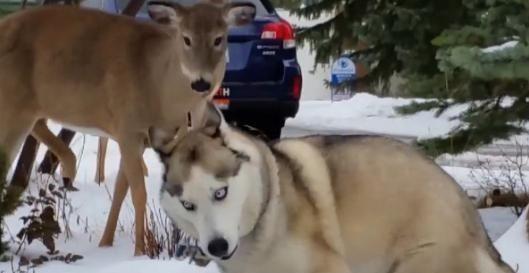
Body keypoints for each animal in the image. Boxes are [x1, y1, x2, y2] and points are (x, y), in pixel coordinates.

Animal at [0, 1, 254, 254]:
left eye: (219, 38)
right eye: (186, 38)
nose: (201, 82)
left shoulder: (139, 139)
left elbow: (120, 191)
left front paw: (105, 243)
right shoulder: (128, 128)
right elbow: (138, 193)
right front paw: (142, 250)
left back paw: (68, 167)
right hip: (13, 104)